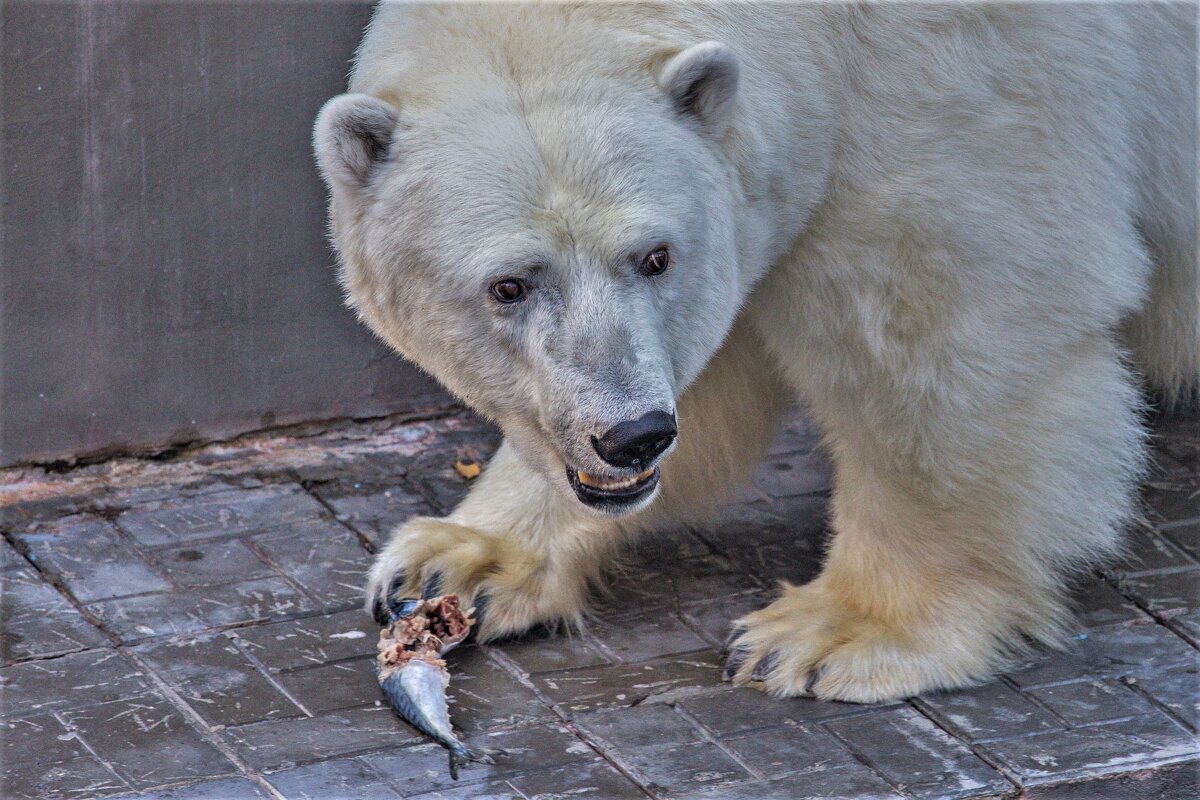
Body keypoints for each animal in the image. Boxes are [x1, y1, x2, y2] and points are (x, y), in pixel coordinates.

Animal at [314, 1, 1195, 700]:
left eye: (655, 256)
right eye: (509, 285)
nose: (631, 435)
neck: (829, 22)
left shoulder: (956, 85)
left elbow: (941, 328)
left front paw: (841, 632)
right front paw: (453, 561)